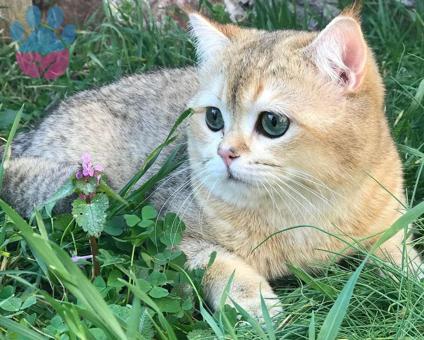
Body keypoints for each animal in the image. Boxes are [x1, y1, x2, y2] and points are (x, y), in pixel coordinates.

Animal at [1, 6, 422, 318]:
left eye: (273, 123)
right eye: (214, 118)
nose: (225, 153)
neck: (305, 206)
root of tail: (30, 134)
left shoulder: (389, 221)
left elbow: (401, 255)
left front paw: (413, 280)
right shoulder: (175, 236)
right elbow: (226, 266)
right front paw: (258, 307)